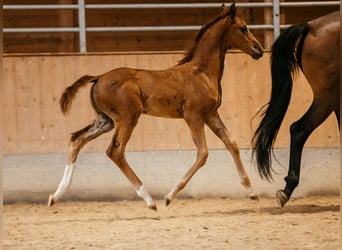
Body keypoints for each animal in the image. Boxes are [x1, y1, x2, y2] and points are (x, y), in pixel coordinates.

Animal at [48, 3, 262, 211]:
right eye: (243, 28)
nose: (259, 50)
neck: (202, 73)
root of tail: (98, 77)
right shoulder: (193, 116)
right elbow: (203, 153)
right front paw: (169, 197)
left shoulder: (210, 114)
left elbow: (231, 143)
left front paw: (252, 192)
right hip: (128, 118)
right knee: (115, 152)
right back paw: (150, 200)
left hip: (105, 121)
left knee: (77, 140)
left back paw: (56, 195)